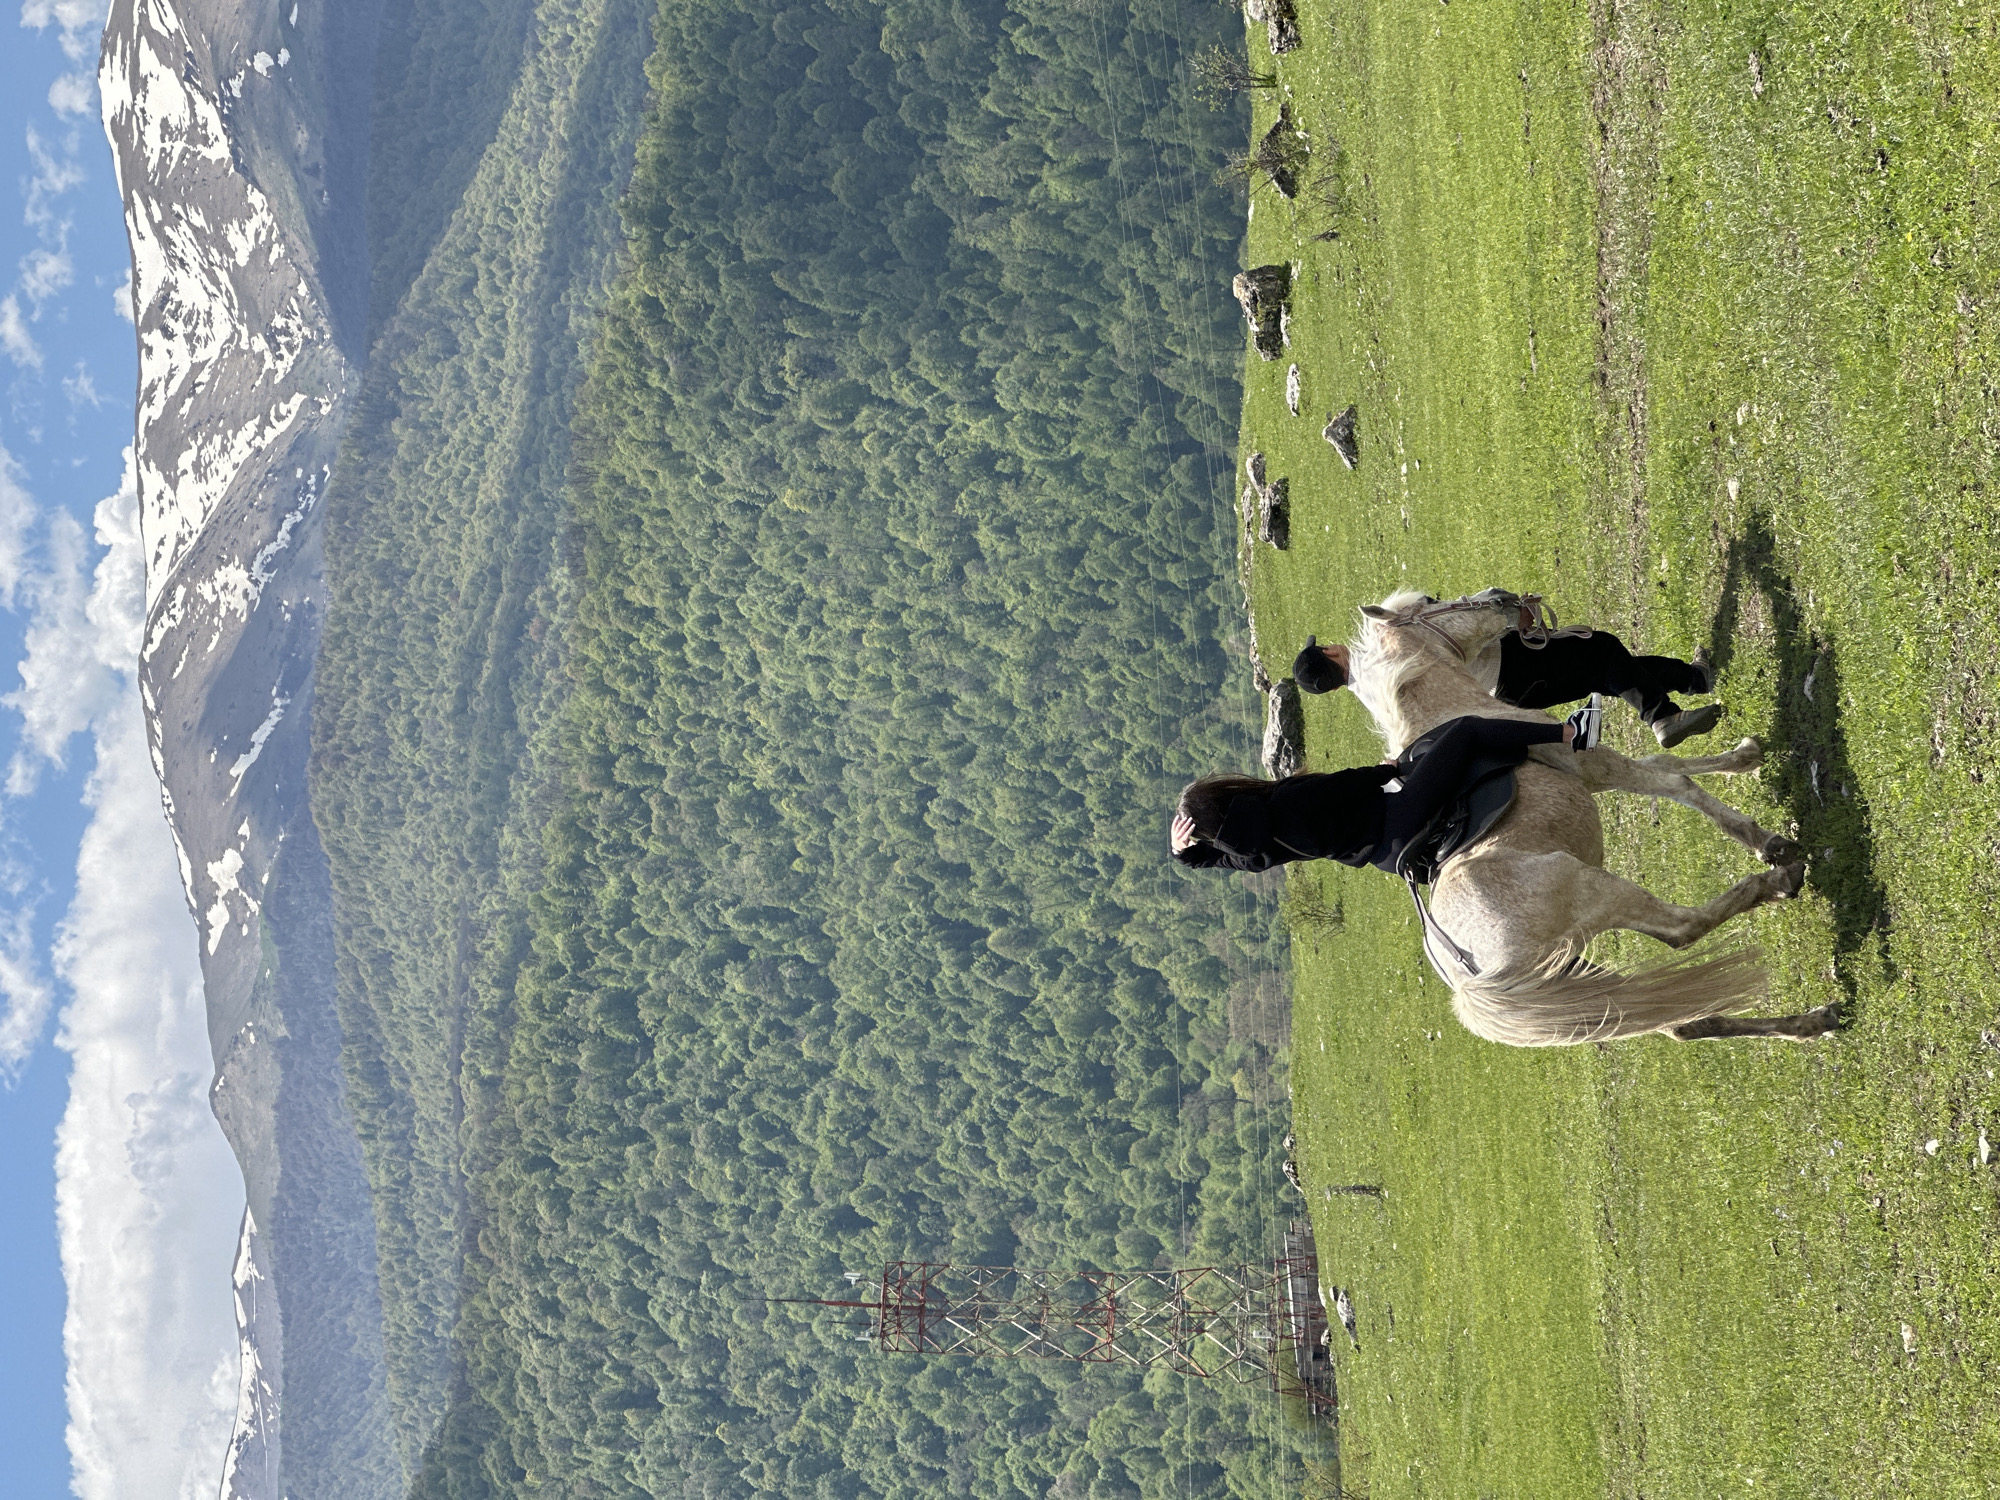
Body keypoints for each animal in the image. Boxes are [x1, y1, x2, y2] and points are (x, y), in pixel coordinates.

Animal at [1342, 589, 1840, 1045]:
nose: (1504, 597)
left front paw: (1744, 758)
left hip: (1578, 982)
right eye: (1431, 602)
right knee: (1683, 928)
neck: (1457, 711)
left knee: (1684, 1020)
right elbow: (1675, 782)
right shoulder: (1596, 766)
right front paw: (1766, 838)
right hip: (1596, 890)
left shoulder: (1596, 773)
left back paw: (1811, 1022)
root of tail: (1469, 978)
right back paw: (1778, 883)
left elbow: (1665, 766)